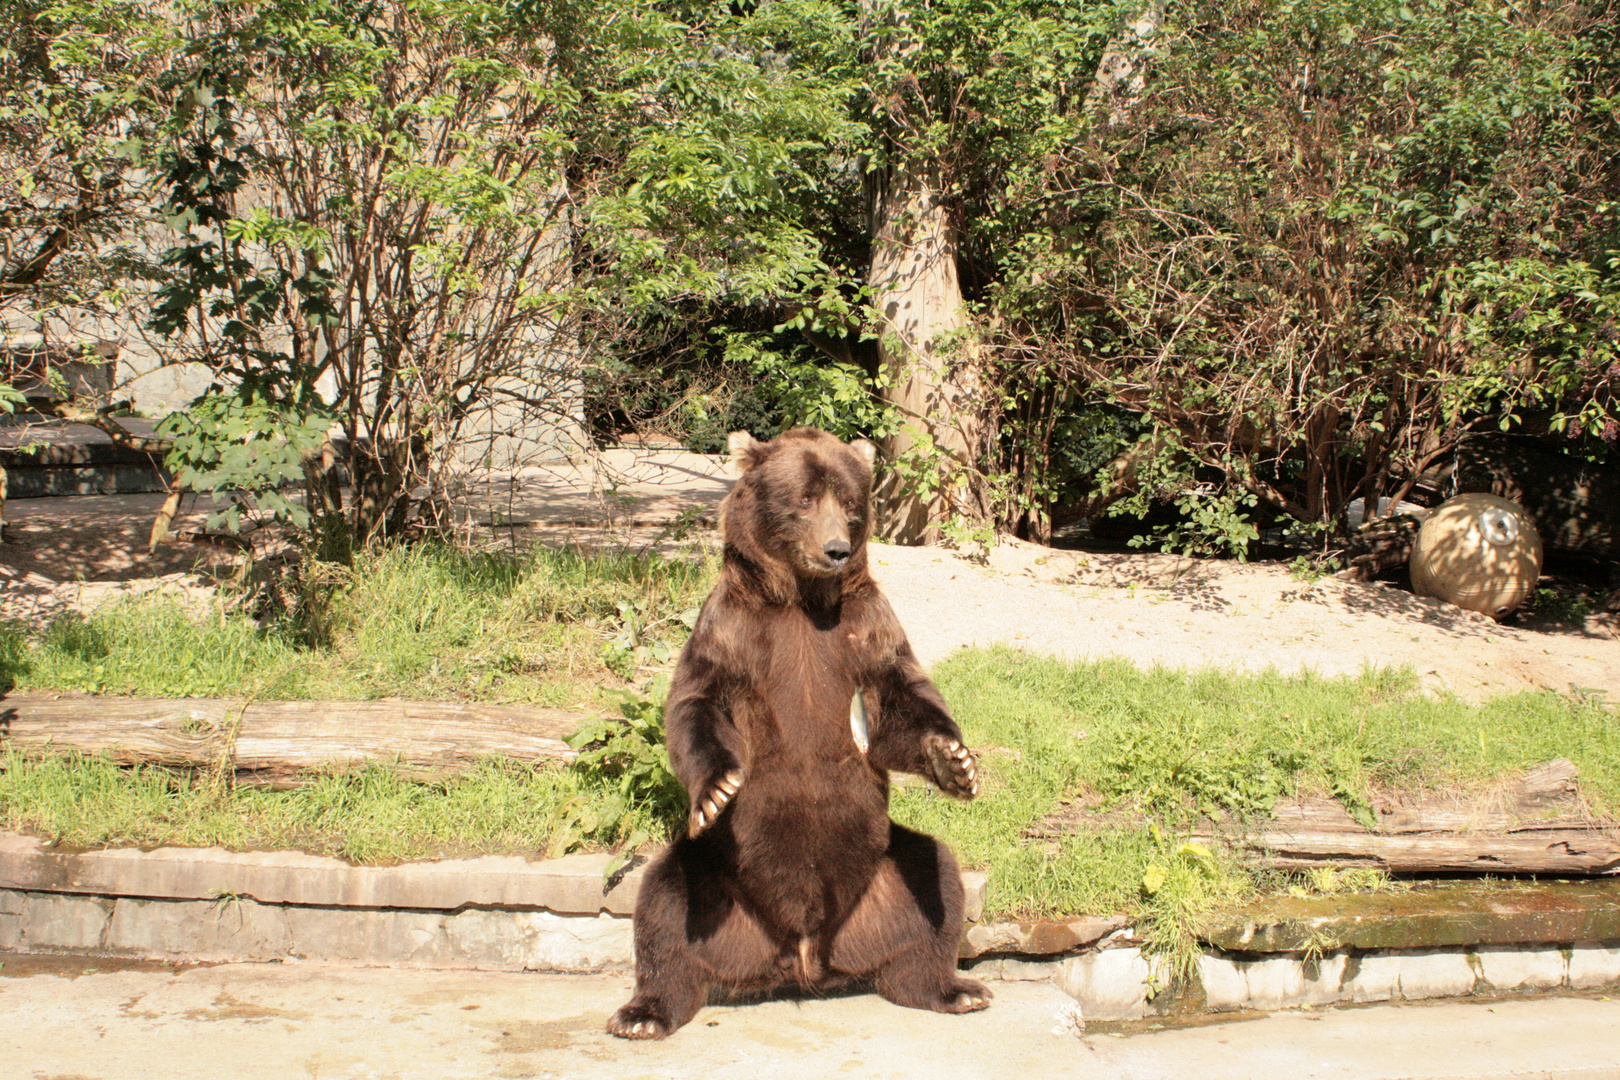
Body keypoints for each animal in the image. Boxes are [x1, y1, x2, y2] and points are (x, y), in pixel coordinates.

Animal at [609, 427, 984, 1036]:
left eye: (848, 502)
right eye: (804, 499)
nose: (835, 549)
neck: (803, 599)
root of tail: (804, 953)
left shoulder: (866, 630)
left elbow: (901, 700)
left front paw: (956, 761)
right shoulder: (735, 632)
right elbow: (696, 704)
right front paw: (716, 789)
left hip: (881, 873)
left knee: (934, 883)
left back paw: (953, 988)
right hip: (717, 874)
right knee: (664, 905)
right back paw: (645, 1013)